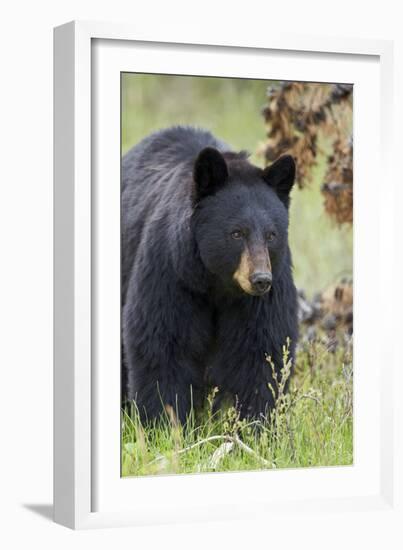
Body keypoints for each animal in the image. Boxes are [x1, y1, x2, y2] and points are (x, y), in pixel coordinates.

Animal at [121, 127, 298, 424]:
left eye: (271, 234)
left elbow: (262, 353)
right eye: (237, 233)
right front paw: (164, 422)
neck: (217, 284)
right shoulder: (171, 273)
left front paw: (256, 424)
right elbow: (162, 343)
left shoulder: (264, 296)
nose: (261, 279)